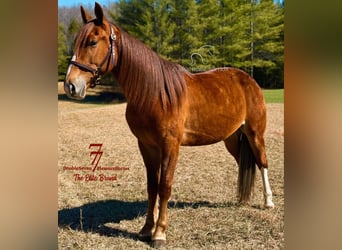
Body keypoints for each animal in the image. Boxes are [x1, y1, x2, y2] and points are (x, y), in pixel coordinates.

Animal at [62, 2, 274, 248]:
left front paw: (160, 233)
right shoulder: (146, 145)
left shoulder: (170, 145)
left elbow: (164, 186)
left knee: (261, 162)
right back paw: (243, 199)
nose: (71, 86)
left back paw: (268, 202)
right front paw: (146, 229)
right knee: (244, 164)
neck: (153, 93)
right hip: (231, 139)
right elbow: (152, 187)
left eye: (93, 42)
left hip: (255, 133)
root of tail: (248, 80)